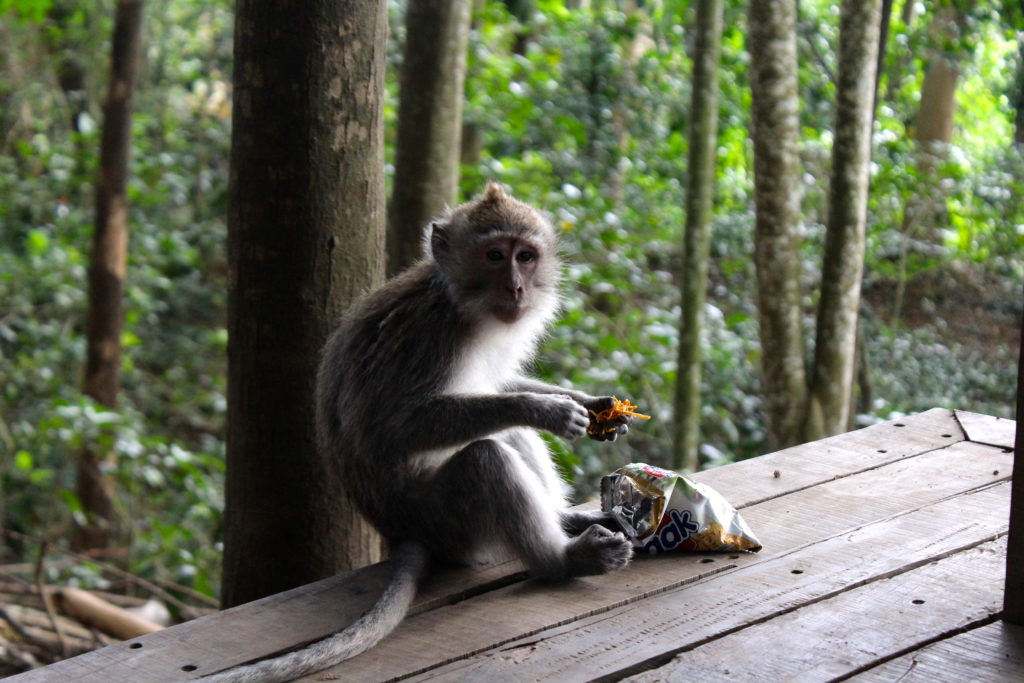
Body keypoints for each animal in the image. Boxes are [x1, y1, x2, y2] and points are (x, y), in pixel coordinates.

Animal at [202, 183, 633, 682]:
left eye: (525, 256)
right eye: (494, 255)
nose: (516, 287)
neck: (460, 304)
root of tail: (403, 532)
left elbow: (496, 384)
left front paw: (593, 404)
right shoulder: (431, 338)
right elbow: (397, 427)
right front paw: (545, 410)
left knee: (508, 438)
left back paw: (564, 519)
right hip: (448, 521)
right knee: (485, 459)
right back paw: (561, 561)